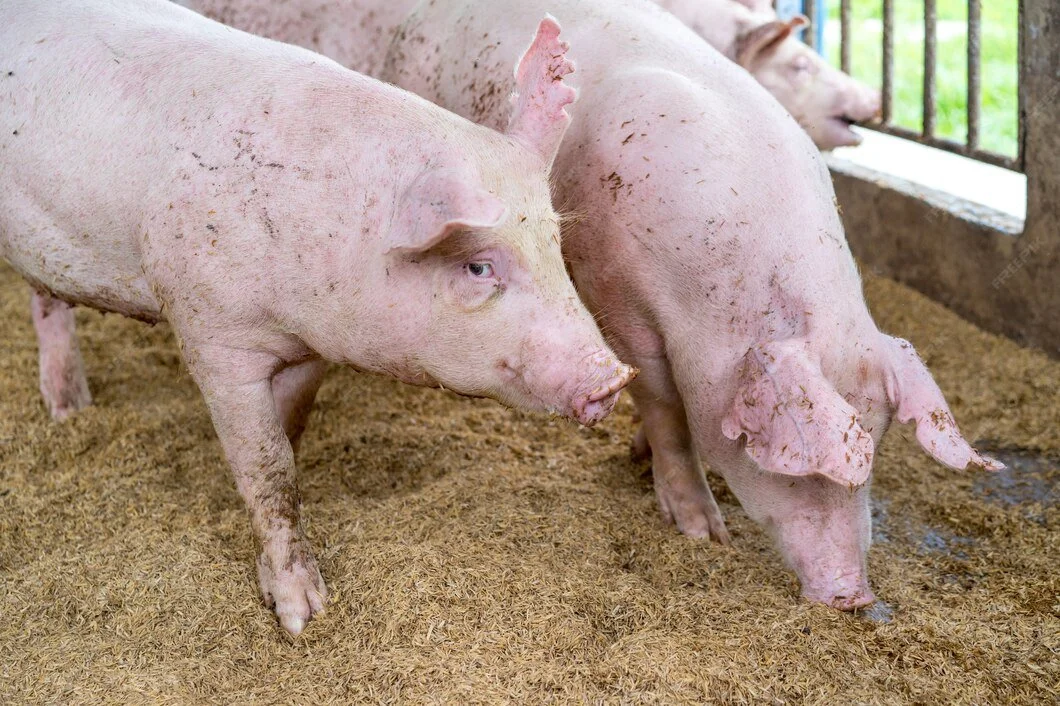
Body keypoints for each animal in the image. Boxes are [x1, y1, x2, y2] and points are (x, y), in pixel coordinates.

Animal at [1, 0, 635, 635]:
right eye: (479, 266)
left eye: (555, 243)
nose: (613, 377)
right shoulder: (214, 335)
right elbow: (268, 469)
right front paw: (303, 617)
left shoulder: (306, 349)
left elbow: (290, 436)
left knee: (46, 299)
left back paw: (69, 408)